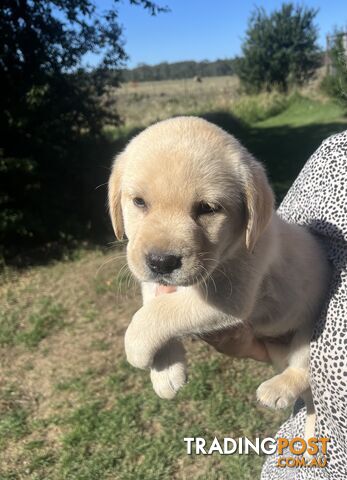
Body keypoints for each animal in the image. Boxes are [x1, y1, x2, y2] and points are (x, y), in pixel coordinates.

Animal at [109, 116, 332, 438]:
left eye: (208, 209)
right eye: (139, 202)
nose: (162, 262)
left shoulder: (228, 297)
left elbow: (160, 312)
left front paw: (136, 345)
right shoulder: (153, 281)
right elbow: (152, 304)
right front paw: (166, 371)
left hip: (310, 331)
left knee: (303, 372)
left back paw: (277, 389)